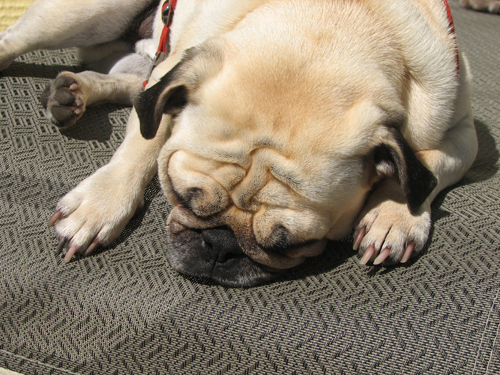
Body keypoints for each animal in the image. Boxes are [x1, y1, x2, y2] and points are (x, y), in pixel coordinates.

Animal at [0, 0, 476, 288]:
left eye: (287, 244)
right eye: (182, 198)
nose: (219, 247)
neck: (336, 20)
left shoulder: (463, 136)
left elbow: (428, 165)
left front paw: (394, 216)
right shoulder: (176, 70)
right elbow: (144, 142)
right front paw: (100, 205)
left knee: (126, 80)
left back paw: (73, 92)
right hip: (86, 12)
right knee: (21, 41)